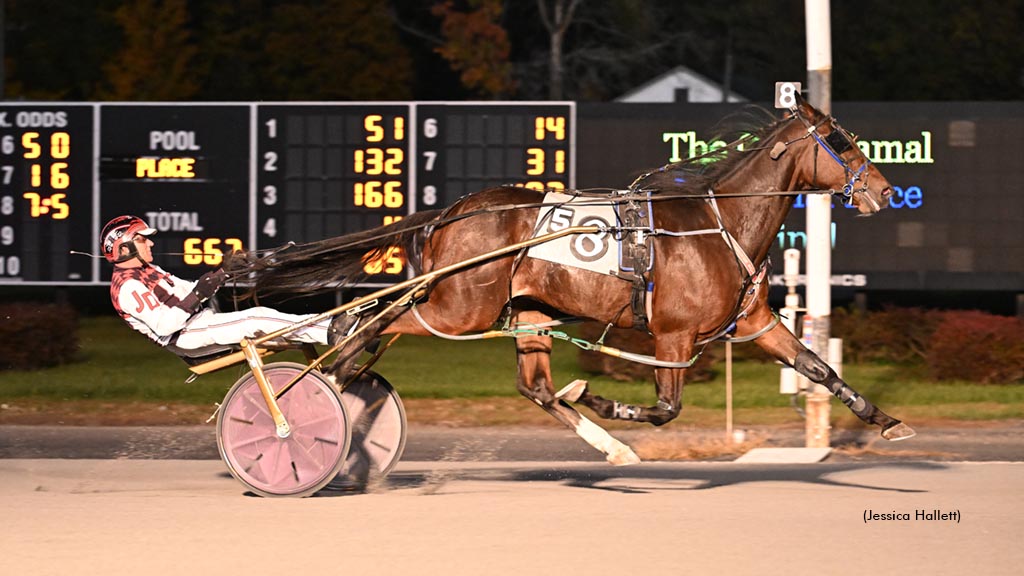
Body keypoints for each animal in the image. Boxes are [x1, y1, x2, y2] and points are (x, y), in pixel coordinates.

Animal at [228, 94, 917, 461]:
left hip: (528, 311)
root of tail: (453, 212)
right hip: (460, 306)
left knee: (531, 386)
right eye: (839, 141)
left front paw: (887, 421)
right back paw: (330, 372)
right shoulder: (673, 336)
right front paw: (600, 398)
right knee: (384, 317)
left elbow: (817, 367)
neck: (718, 222)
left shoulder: (753, 322)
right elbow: (665, 408)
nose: (885, 191)